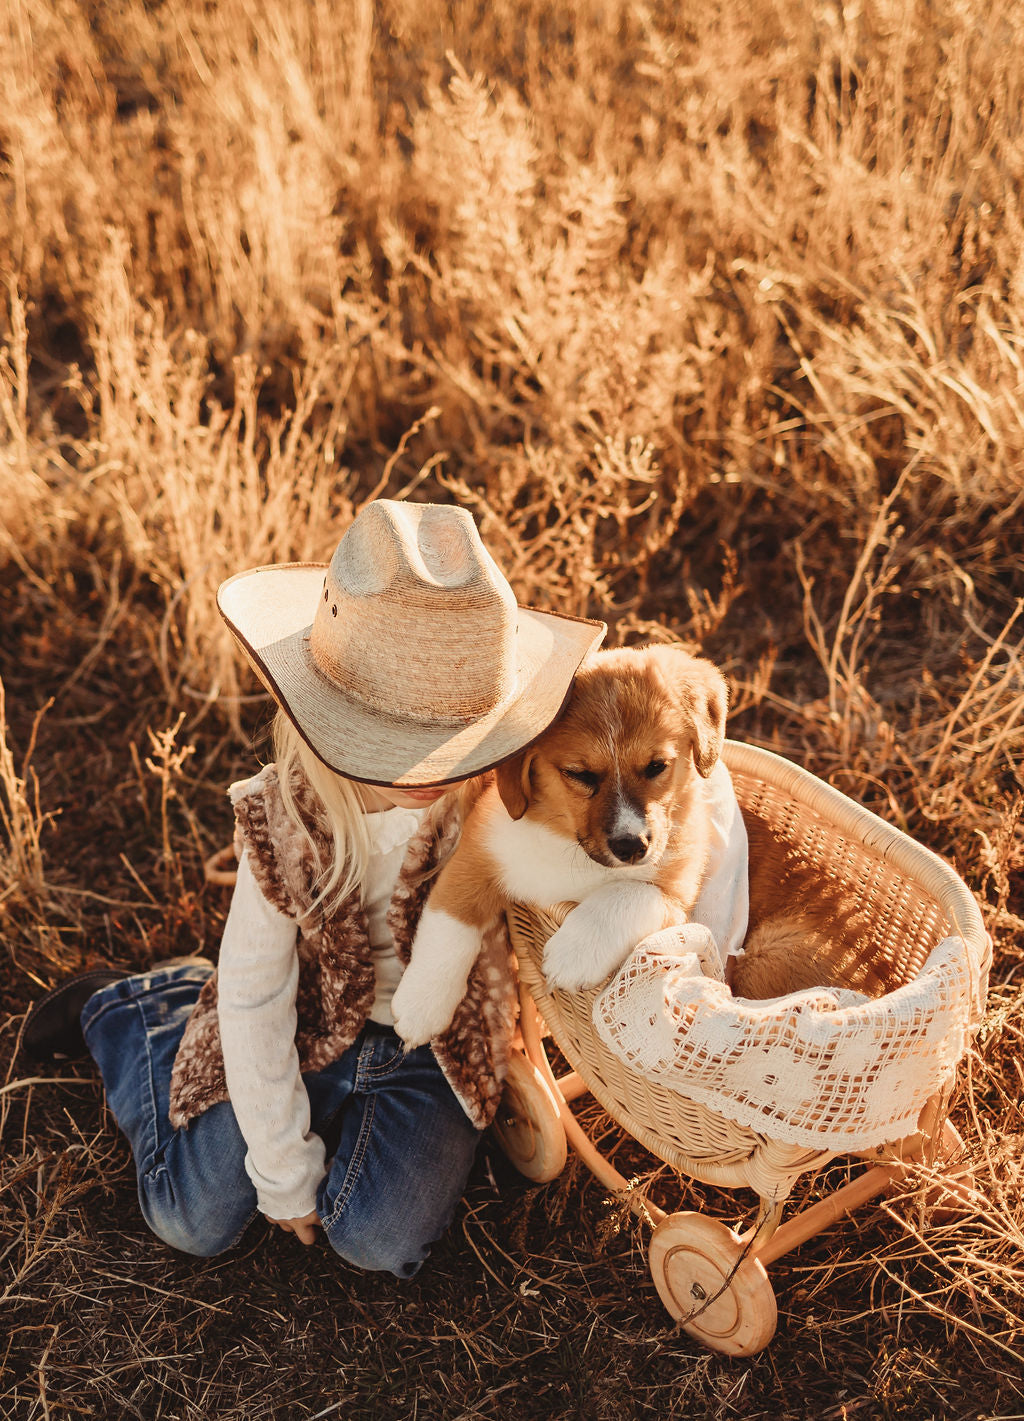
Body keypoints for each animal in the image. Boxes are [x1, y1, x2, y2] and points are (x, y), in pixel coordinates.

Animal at [394, 645, 744, 1045]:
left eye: (657, 766)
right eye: (579, 774)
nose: (631, 847)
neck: (573, 852)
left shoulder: (678, 898)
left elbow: (630, 894)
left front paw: (575, 951)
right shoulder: (477, 856)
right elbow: (448, 926)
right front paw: (422, 1005)